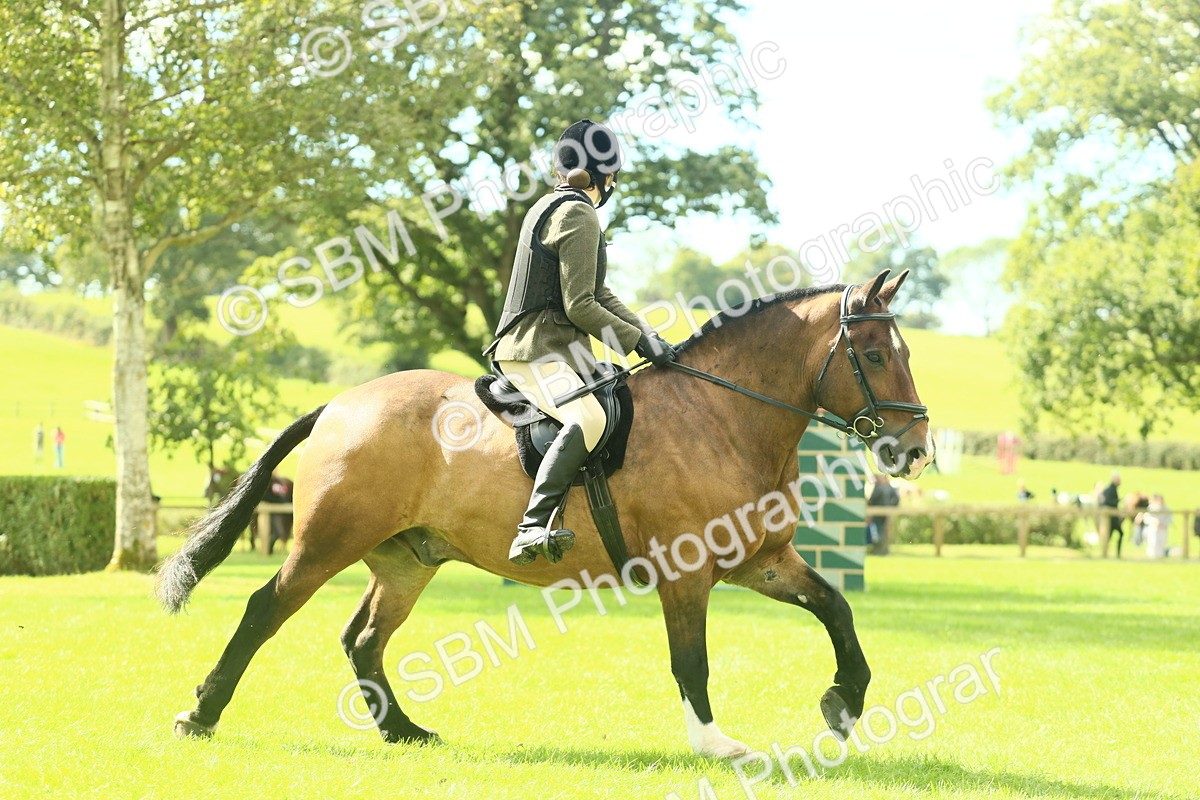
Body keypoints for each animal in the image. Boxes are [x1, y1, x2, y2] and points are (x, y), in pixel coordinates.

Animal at [157, 269, 934, 758]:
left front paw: (843, 705)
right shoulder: (686, 574)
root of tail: (339, 406)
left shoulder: (762, 563)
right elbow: (693, 661)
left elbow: (837, 609)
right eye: (872, 354)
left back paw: (404, 731)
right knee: (266, 609)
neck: (723, 415)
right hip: (328, 541)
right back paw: (199, 714)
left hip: (407, 559)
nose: (916, 451)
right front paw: (715, 743)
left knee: (364, 638)